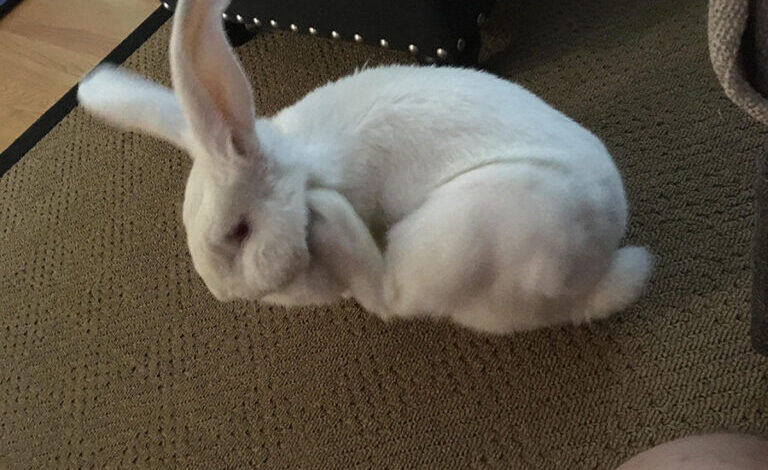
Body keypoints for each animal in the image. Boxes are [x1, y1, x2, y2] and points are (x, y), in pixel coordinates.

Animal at [77, 0, 652, 334]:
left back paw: (334, 217)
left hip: (467, 228)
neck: (300, 174)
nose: (226, 292)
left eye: (239, 231)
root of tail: (596, 277)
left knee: (392, 297)